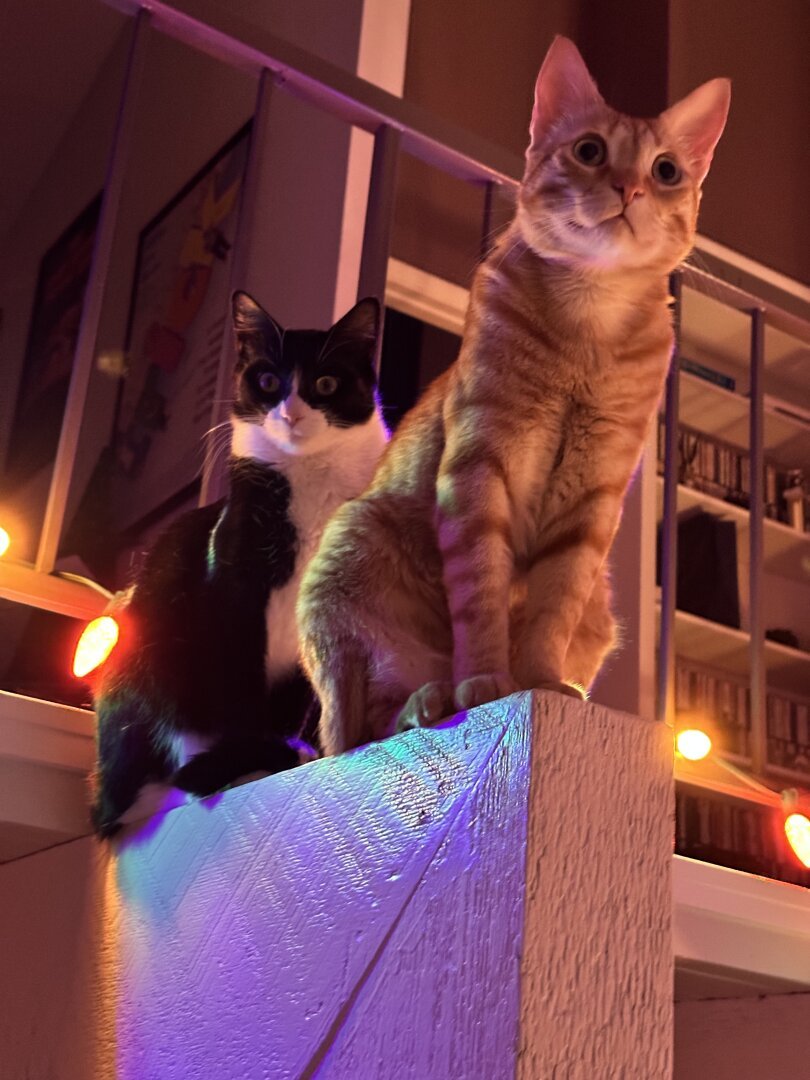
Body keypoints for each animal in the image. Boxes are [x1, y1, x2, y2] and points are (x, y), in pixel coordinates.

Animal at [295, 38, 730, 756]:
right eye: (590, 151)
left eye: (666, 170)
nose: (631, 187)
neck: (589, 322)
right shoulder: (479, 464)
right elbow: (482, 593)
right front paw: (486, 680)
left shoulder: (594, 496)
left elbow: (554, 604)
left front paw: (540, 680)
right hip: (350, 557)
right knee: (362, 728)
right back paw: (425, 700)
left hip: (601, 607)